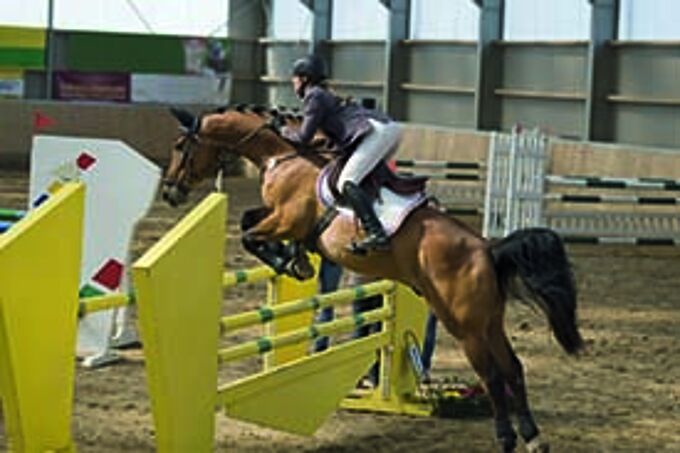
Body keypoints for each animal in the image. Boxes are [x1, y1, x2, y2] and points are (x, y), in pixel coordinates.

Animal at [161, 105, 584, 453]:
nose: (169, 192)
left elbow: (250, 233)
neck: (281, 157)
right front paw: (296, 260)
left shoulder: (285, 219)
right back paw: (533, 438)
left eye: (181, 145)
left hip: (464, 325)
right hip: (488, 321)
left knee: (494, 376)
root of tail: (487, 249)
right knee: (513, 368)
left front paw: (288, 261)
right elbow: (251, 221)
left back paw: (507, 439)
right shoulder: (279, 218)